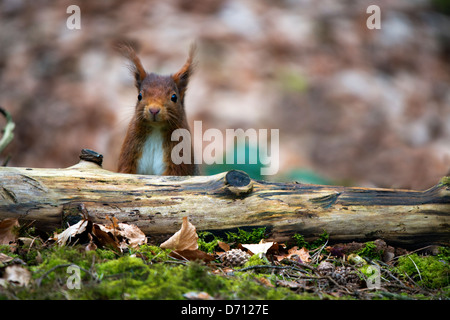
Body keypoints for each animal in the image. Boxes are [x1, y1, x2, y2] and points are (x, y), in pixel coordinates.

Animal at [117, 43, 198, 175]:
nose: (154, 110)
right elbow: (125, 171)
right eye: (139, 96)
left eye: (174, 97)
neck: (156, 129)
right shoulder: (129, 151)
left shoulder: (179, 155)